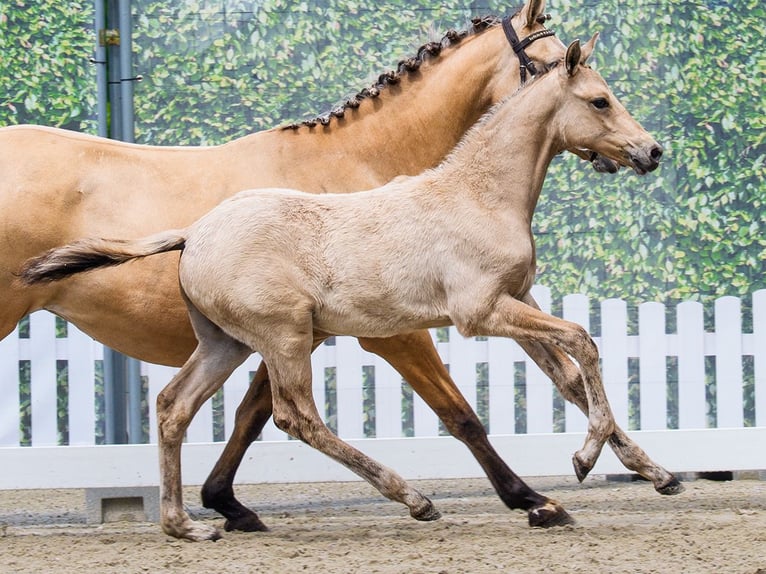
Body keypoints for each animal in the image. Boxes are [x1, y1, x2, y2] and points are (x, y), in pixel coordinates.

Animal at [2, 0, 680, 536]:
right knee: (295, 415)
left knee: (177, 405)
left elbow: (568, 373)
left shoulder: (505, 301)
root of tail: (194, 234)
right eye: (598, 97)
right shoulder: (443, 320)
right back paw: (412, 497)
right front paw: (545, 493)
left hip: (231, 341)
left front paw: (653, 471)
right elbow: (479, 404)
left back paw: (184, 524)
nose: (651, 152)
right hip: (268, 333)